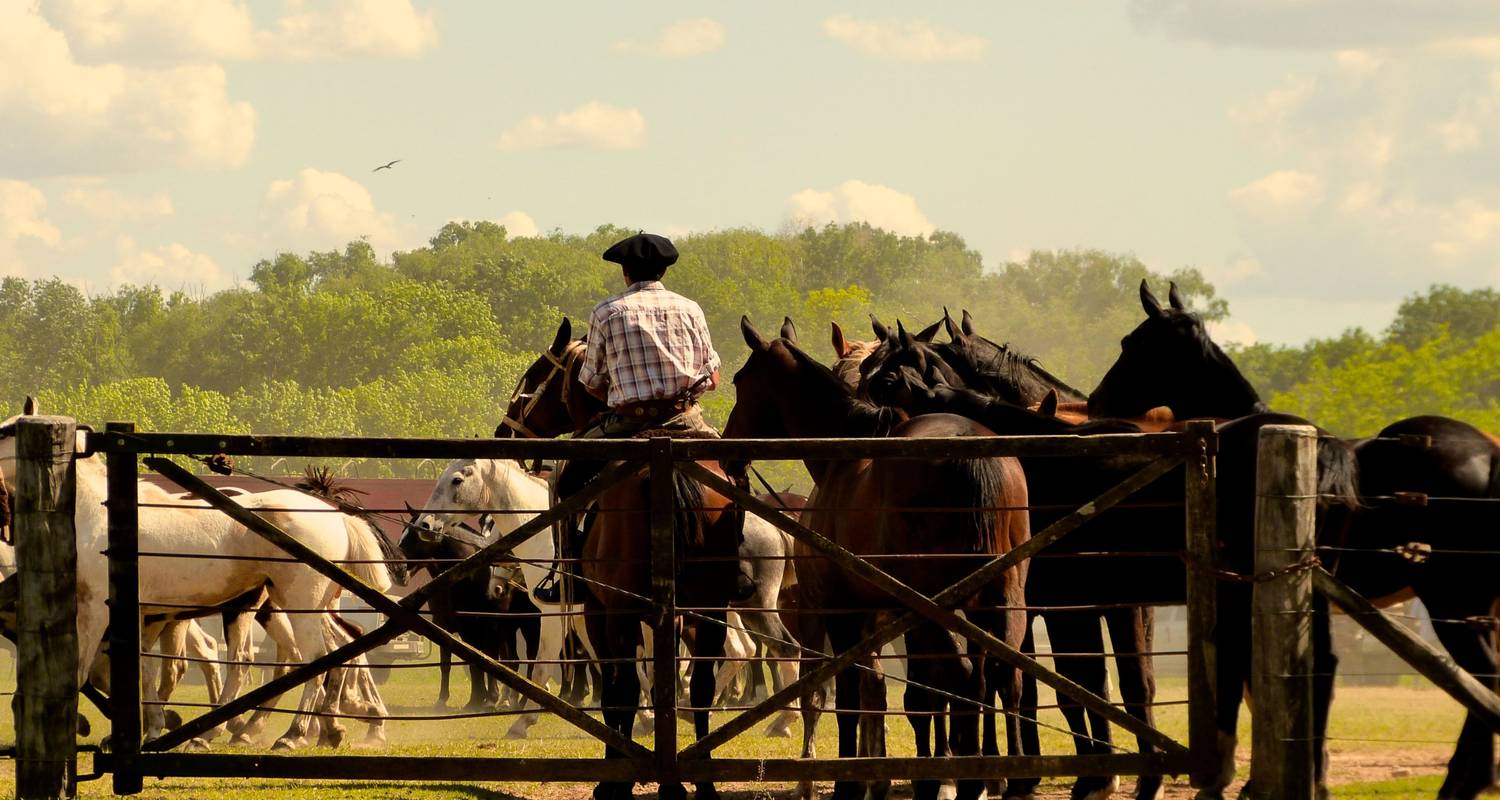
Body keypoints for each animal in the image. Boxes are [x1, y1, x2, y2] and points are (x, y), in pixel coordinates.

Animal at [723, 318, 1032, 800]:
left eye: (741, 381)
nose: (727, 451)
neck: (843, 455)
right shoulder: (876, 618)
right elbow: (882, 694)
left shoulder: (840, 612)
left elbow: (850, 696)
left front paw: (851, 782)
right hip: (1001, 596)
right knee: (1004, 676)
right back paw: (1007, 776)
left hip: (933, 609)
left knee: (963, 678)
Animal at [1086, 279, 1500, 798]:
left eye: (1132, 343)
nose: (1095, 400)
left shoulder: (1234, 593)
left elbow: (1236, 669)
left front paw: (1225, 775)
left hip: (1452, 603)